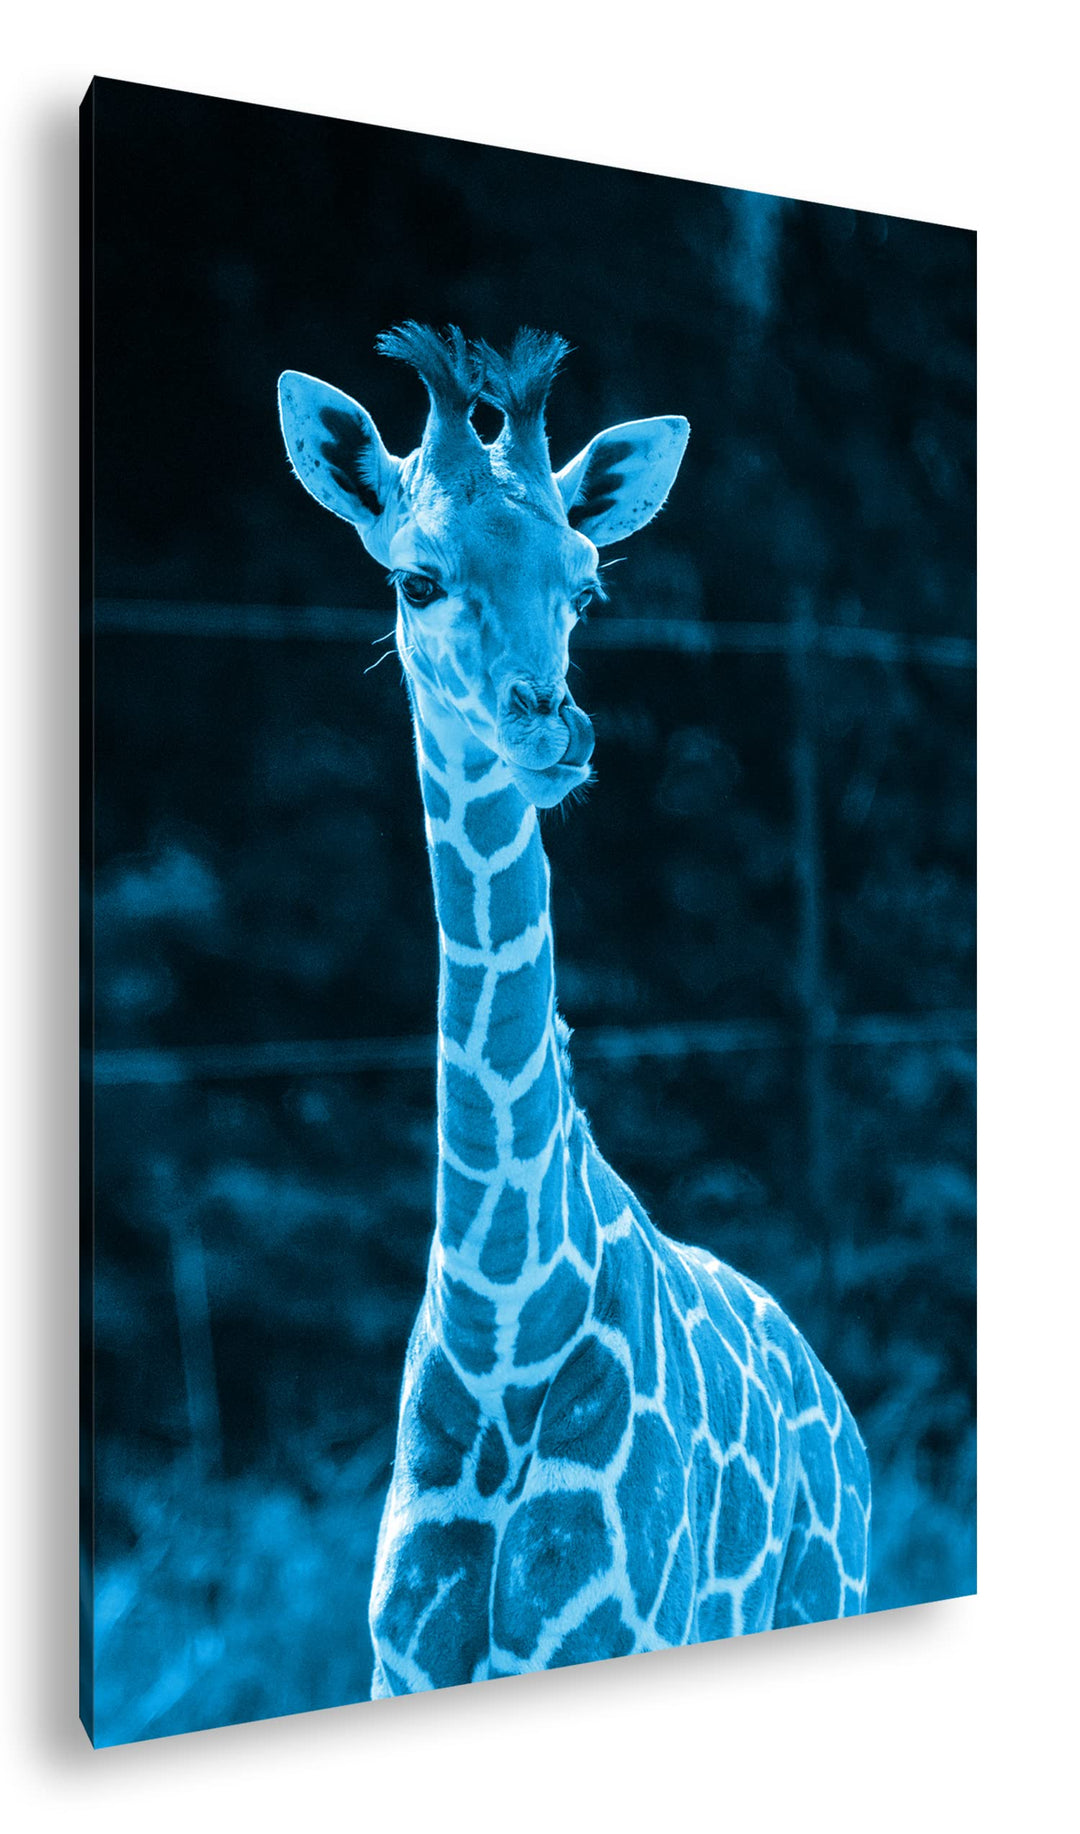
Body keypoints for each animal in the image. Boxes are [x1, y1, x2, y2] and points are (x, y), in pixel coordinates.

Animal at [277, 325, 871, 1697]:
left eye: (587, 584)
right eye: (417, 579)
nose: (550, 725)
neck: (503, 1314)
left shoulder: (621, 1631)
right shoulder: (401, 1668)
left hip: (819, 1599)